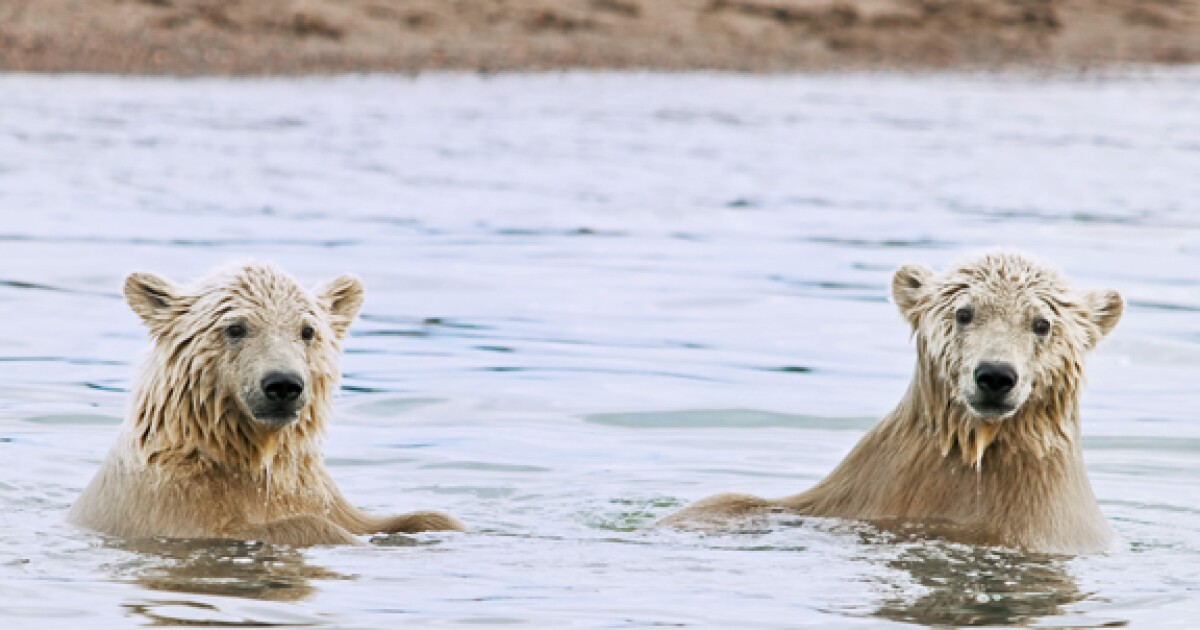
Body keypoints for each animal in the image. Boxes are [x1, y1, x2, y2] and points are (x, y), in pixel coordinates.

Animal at [69, 263, 464, 546]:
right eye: (235, 328)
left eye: (307, 331)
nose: (283, 385)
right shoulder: (174, 505)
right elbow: (297, 526)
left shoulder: (312, 488)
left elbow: (401, 518)